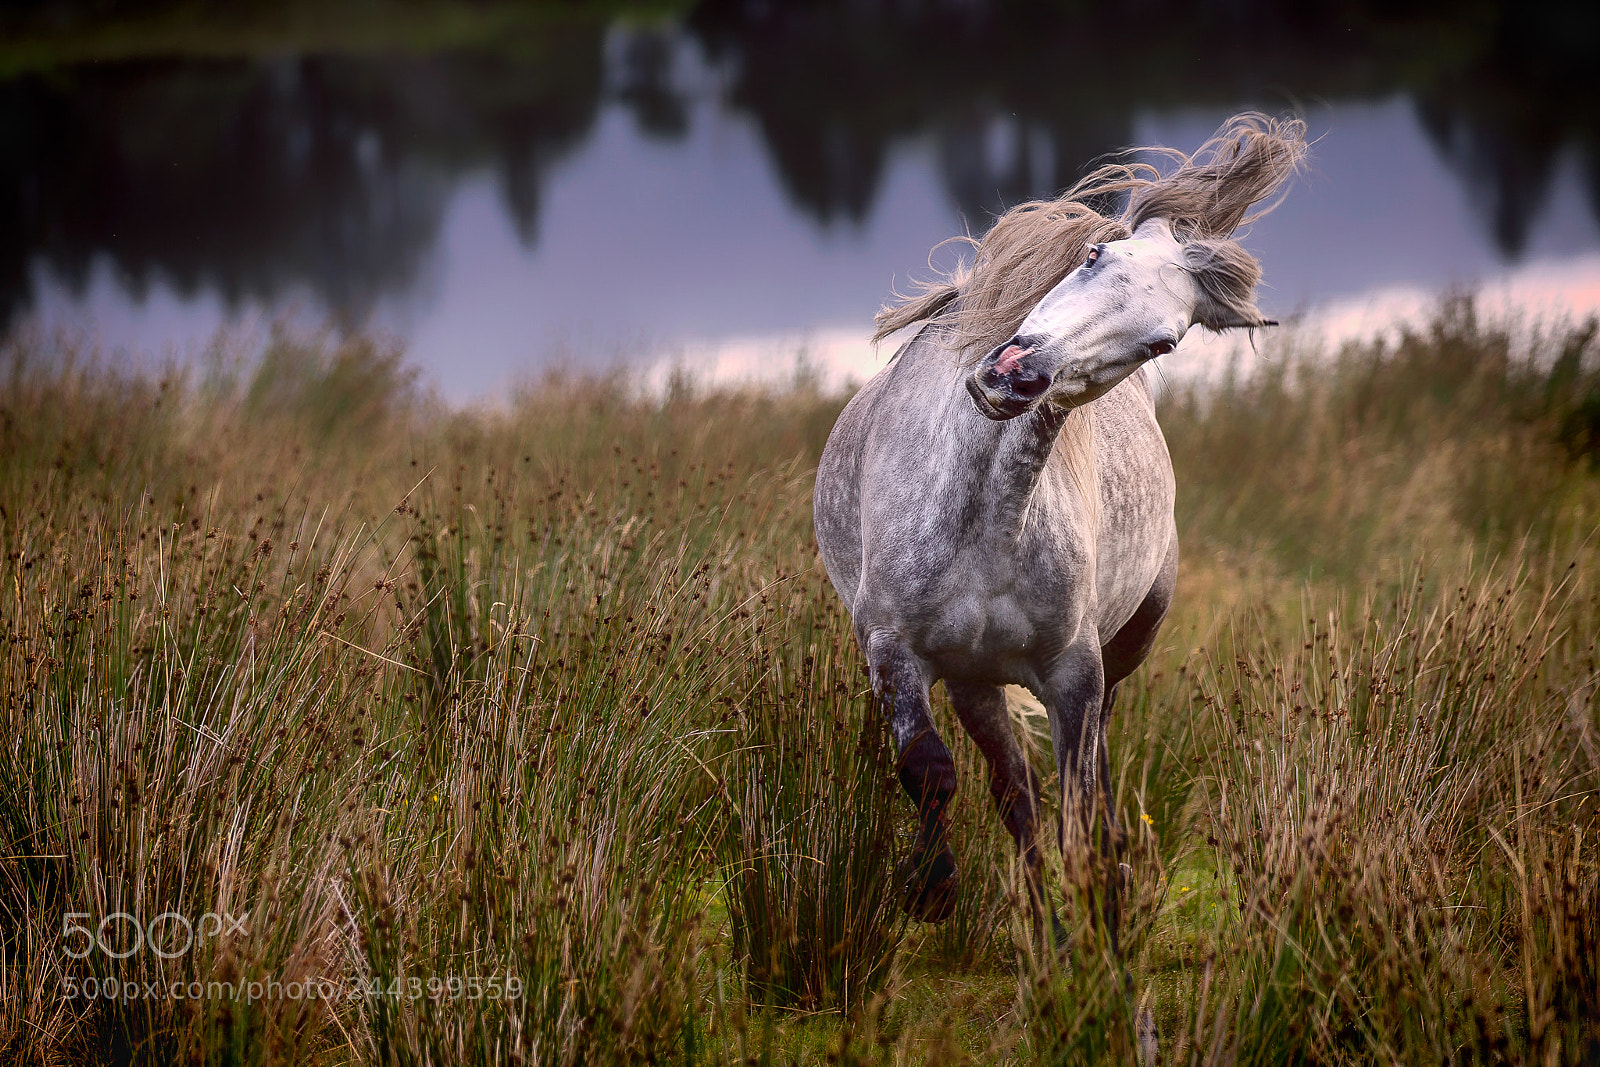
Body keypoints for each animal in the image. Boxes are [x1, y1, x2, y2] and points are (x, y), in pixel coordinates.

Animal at [813, 114, 1304, 957]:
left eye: (1161, 343)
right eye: (1093, 258)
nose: (1016, 373)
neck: (986, 520)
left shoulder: (1074, 670)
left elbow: (1081, 806)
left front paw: (1099, 921)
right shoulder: (893, 649)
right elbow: (932, 768)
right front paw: (933, 889)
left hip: (1120, 652)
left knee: (1086, 784)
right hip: (974, 681)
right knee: (1015, 793)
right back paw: (1043, 925)